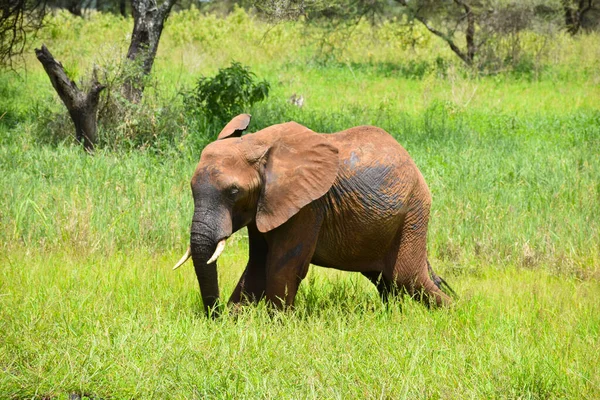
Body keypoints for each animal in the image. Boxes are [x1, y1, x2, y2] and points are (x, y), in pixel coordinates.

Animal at [173, 113, 454, 316]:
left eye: (233, 192)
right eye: (191, 188)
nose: (215, 314)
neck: (257, 144)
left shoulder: (309, 205)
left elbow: (283, 265)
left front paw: (276, 324)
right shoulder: (265, 203)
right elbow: (257, 263)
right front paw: (236, 320)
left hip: (414, 211)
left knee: (408, 277)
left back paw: (453, 312)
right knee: (386, 280)